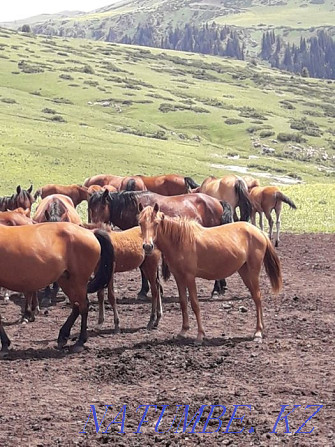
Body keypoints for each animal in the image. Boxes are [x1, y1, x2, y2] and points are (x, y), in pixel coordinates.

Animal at [0, 223, 113, 356]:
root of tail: (91, 232)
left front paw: (4, 344)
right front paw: (5, 344)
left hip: (78, 281)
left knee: (83, 306)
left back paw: (79, 342)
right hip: (66, 281)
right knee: (76, 306)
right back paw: (63, 337)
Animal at [88, 191, 234, 300]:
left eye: (102, 207)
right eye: (90, 208)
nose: (94, 226)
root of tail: (218, 202)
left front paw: (144, 291)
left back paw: (216, 290)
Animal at [139, 205, 284, 344]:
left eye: (156, 223)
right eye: (140, 223)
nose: (147, 246)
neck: (179, 240)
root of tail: (259, 232)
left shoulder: (190, 277)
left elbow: (195, 304)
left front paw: (199, 336)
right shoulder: (178, 277)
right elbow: (183, 302)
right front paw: (183, 331)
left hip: (253, 272)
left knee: (258, 297)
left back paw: (258, 333)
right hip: (244, 272)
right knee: (256, 297)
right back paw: (261, 330)